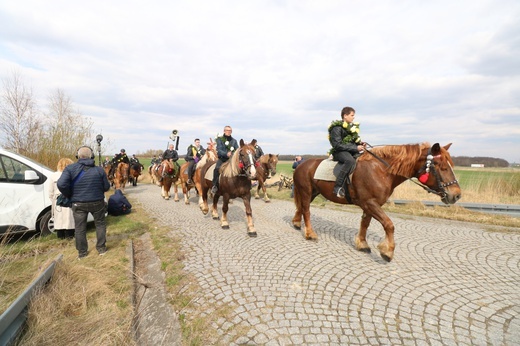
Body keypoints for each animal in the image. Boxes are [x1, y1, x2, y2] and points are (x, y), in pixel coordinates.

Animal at [292, 142, 464, 260]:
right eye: (442, 167)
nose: (456, 195)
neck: (381, 171)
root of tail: (302, 164)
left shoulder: (370, 205)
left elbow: (365, 223)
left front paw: (362, 244)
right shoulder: (370, 203)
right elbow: (389, 224)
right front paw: (387, 251)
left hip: (312, 192)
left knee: (300, 208)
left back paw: (296, 223)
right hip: (306, 192)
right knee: (306, 210)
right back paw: (310, 234)